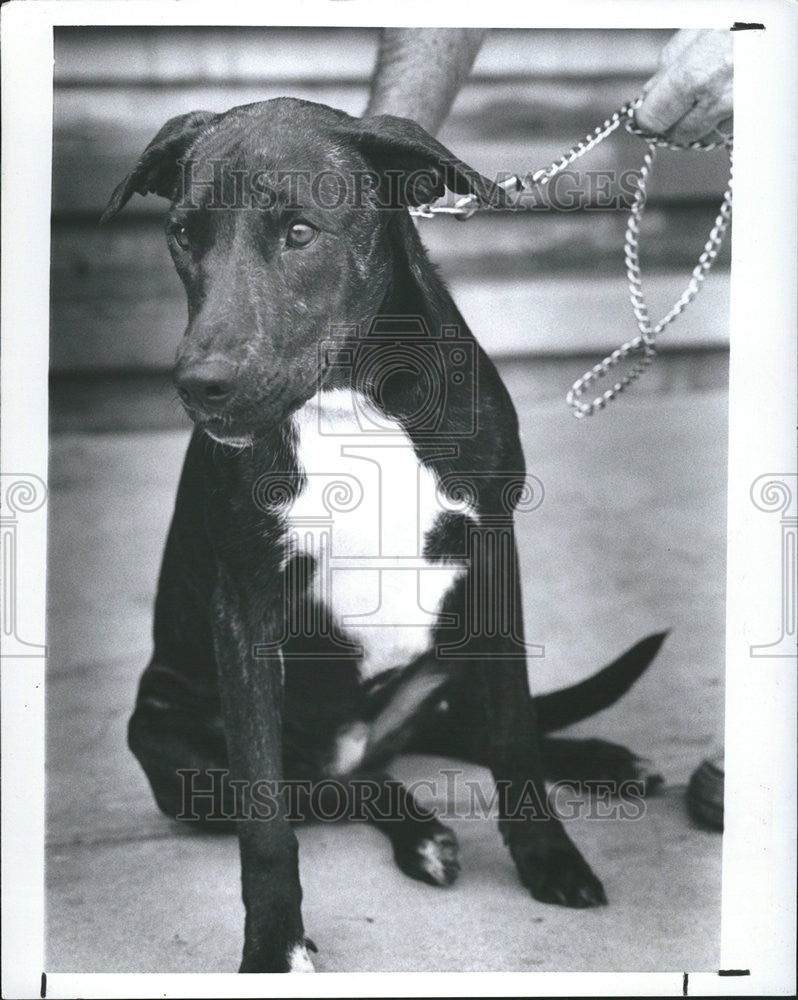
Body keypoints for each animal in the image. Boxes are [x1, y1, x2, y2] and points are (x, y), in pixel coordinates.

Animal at [106, 97, 668, 972]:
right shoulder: (246, 610)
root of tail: (353, 743)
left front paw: (549, 857)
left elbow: (514, 736)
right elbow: (265, 814)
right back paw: (421, 833)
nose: (201, 386)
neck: (350, 400)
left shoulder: (494, 559)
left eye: (300, 232)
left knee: (464, 728)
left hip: (456, 640)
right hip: (169, 739)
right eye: (183, 236)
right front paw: (274, 945)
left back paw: (600, 761)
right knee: (324, 789)